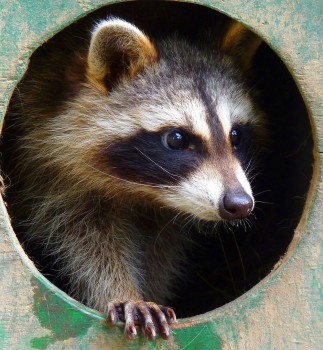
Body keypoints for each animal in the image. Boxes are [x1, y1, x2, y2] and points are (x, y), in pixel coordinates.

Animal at [2, 16, 264, 340]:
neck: (143, 190)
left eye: (236, 135)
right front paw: (124, 293)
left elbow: (161, 251)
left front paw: (151, 291)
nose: (239, 204)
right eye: (176, 139)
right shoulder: (45, 173)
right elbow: (83, 241)